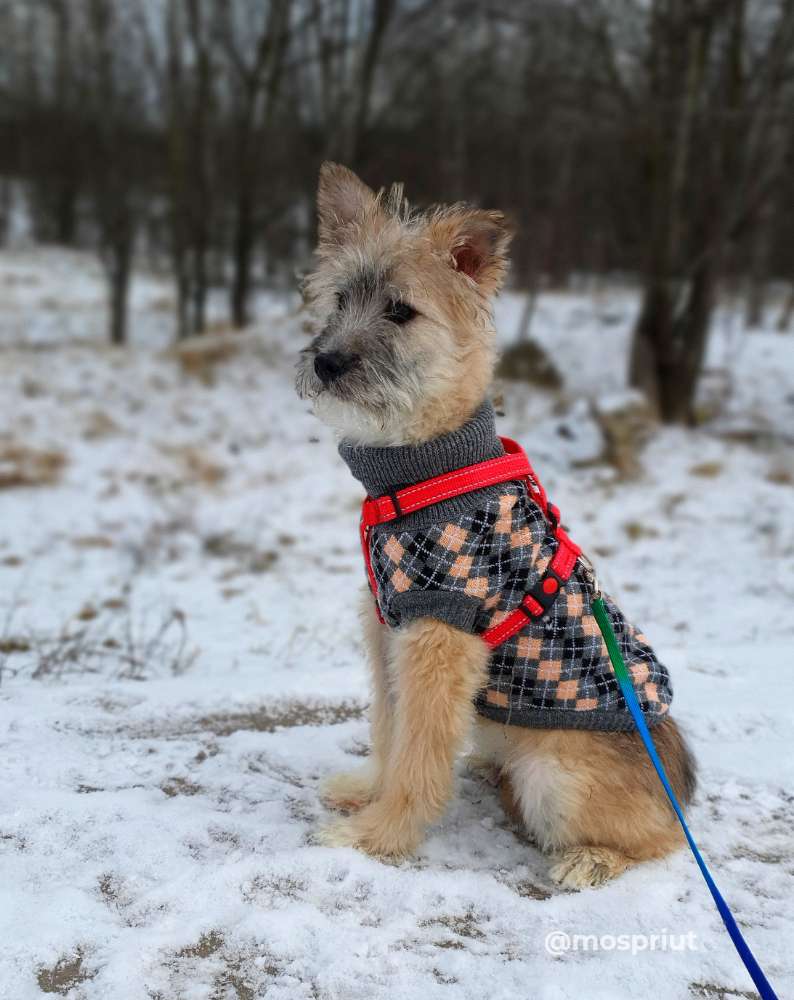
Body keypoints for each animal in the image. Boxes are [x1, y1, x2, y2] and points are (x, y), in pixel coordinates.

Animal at [296, 164, 692, 892]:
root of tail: (678, 779)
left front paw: (378, 837)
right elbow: (389, 732)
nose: (327, 362)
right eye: (339, 299)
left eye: (400, 310)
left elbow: (418, 758)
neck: (428, 472)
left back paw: (591, 859)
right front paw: (367, 792)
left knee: (662, 838)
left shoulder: (439, 640)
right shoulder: (388, 628)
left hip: (556, 779)